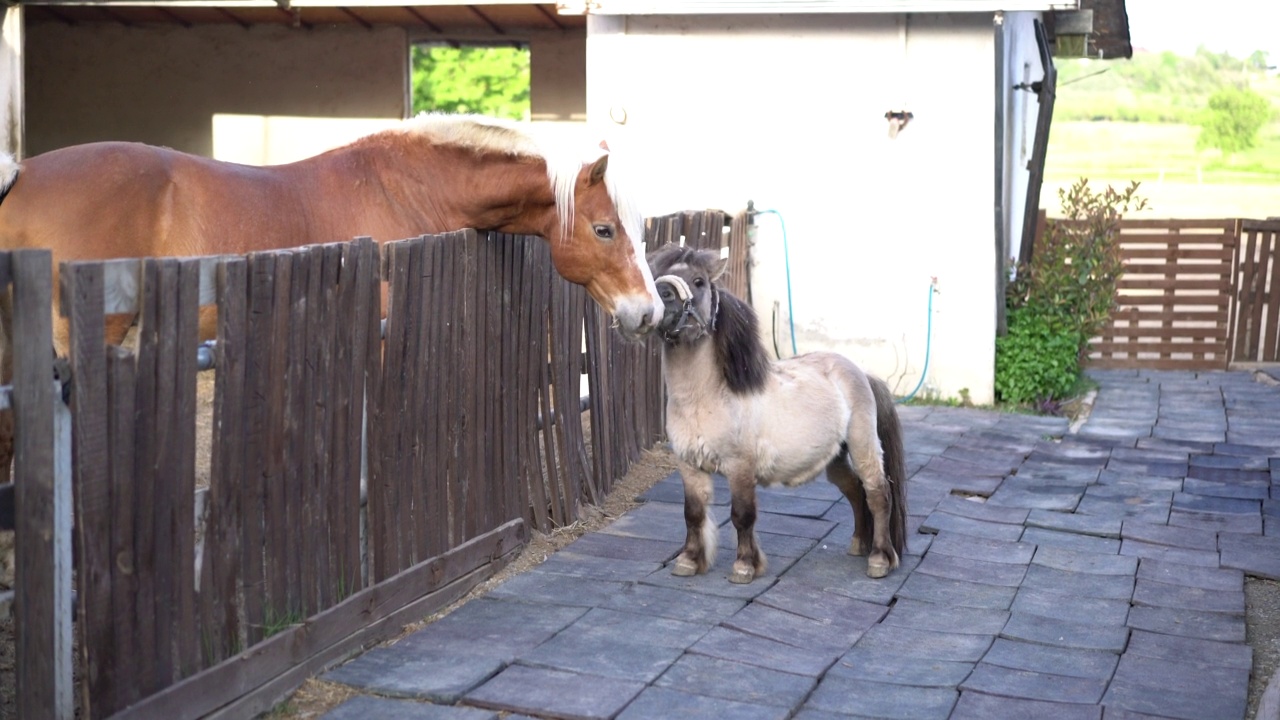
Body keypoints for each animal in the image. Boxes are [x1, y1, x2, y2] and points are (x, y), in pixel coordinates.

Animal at [650, 243, 911, 579]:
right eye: (656, 274)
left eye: (698, 281)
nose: (660, 295)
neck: (706, 397)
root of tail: (861, 373)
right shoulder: (689, 466)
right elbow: (693, 514)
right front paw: (688, 561)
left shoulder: (741, 467)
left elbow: (742, 515)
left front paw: (745, 567)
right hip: (835, 458)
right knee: (855, 490)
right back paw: (858, 544)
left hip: (863, 443)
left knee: (878, 494)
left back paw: (879, 559)